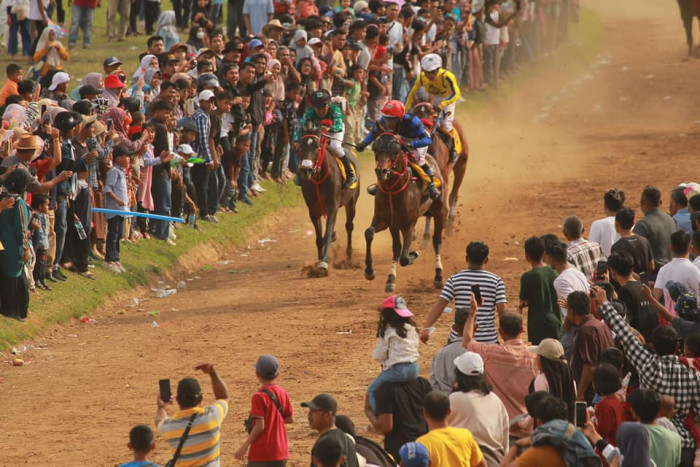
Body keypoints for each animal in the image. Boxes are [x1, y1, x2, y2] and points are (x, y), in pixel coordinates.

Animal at [296, 122, 358, 276]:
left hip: (351, 203)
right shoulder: (313, 210)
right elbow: (319, 238)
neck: (319, 177)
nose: (305, 170)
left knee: (349, 226)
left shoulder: (333, 206)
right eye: (301, 146)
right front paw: (319, 262)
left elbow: (327, 234)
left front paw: (323, 263)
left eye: (317, 146)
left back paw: (348, 257)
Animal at [364, 133, 446, 292]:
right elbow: (370, 234)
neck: (392, 190)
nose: (381, 171)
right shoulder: (385, 221)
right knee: (397, 247)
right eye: (376, 150)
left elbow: (404, 258)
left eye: (394, 152)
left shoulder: (409, 224)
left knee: (437, 241)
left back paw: (438, 276)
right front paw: (371, 272)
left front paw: (414, 253)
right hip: (396, 225)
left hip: (440, 212)